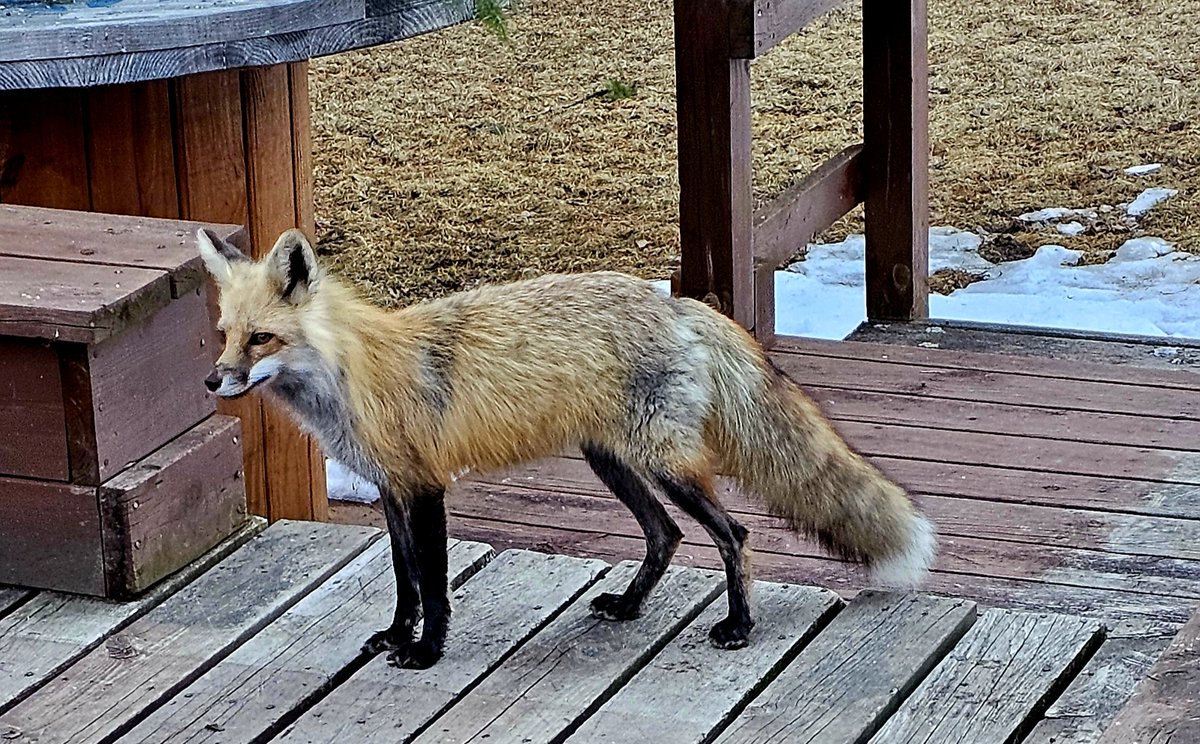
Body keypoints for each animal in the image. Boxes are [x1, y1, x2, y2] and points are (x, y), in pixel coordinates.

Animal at [196, 227, 936, 669]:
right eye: (224, 334)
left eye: (261, 339)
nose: (212, 380)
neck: (354, 376)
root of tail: (682, 305)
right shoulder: (390, 490)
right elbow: (406, 581)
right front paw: (397, 636)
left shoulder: (426, 487)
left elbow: (433, 582)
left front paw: (428, 650)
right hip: (611, 461)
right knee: (665, 535)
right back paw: (631, 607)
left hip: (666, 466)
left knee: (736, 535)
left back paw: (739, 624)